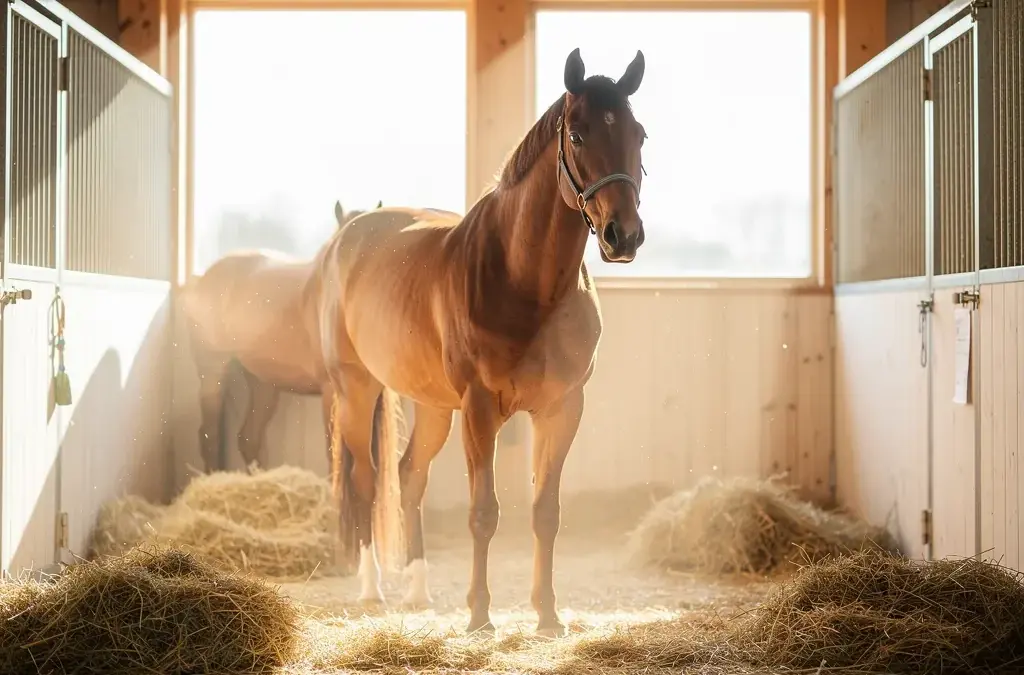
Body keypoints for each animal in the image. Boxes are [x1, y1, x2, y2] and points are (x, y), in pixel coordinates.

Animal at [179, 201, 381, 473]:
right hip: (212, 371)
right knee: (209, 435)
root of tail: (203, 278)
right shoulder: (332, 393)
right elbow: (336, 456)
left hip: (261, 382)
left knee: (248, 438)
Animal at [316, 47, 647, 637]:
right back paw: (373, 589)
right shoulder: (479, 408)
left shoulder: (562, 408)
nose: (623, 235)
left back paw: (418, 592)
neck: (523, 279)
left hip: (431, 405)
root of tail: (346, 235)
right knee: (366, 480)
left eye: (640, 135)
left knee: (410, 475)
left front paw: (547, 616)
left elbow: (545, 512)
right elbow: (484, 513)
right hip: (357, 390)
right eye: (578, 134)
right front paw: (478, 615)